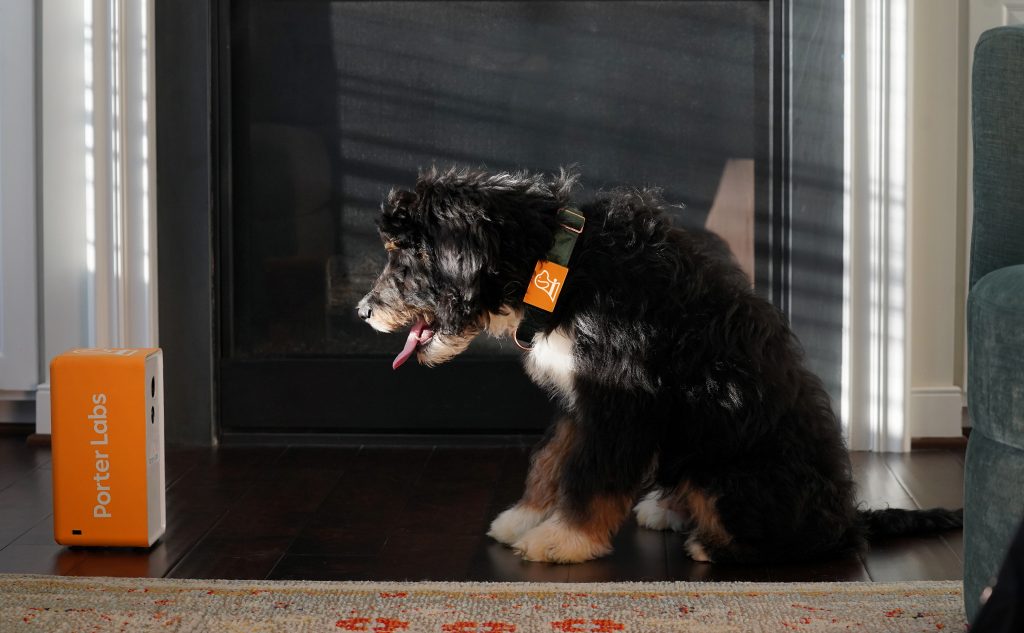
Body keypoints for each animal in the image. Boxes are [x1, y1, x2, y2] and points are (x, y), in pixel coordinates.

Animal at [356, 164, 962, 561]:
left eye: (404, 256)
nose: (363, 310)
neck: (563, 267)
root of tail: (844, 513)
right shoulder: (582, 396)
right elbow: (553, 457)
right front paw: (525, 517)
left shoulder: (620, 398)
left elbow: (591, 473)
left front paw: (561, 540)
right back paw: (669, 509)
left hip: (731, 473)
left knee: (804, 543)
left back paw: (710, 543)